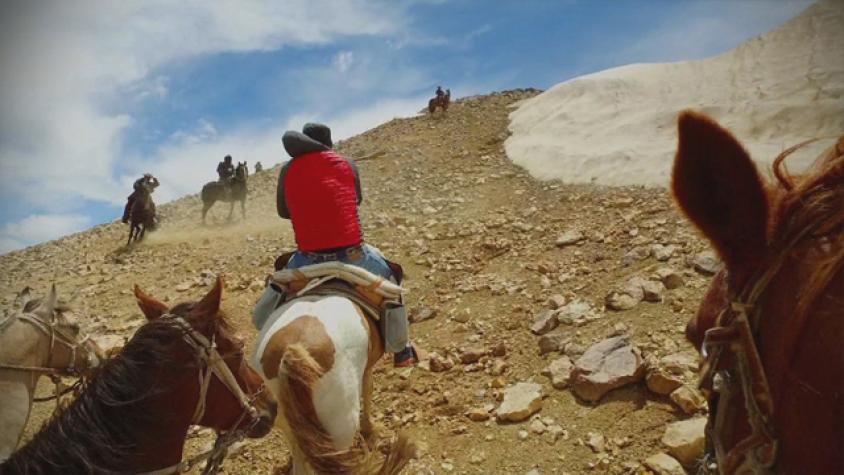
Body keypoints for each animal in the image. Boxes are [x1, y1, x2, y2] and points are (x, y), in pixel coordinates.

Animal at [251, 296, 416, 474]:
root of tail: (291, 351)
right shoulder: (367, 369)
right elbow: (368, 391)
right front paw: (370, 431)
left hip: (288, 424)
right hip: (341, 429)